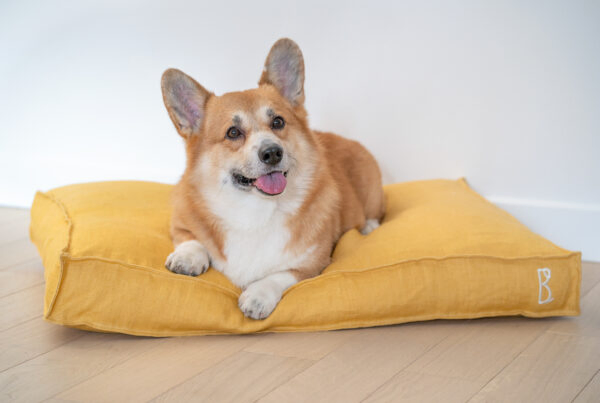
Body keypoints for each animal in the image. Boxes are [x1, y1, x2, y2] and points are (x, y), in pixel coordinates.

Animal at [161, 39, 384, 320]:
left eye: (278, 122)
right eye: (233, 132)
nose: (272, 153)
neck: (254, 211)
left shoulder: (313, 264)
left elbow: (279, 275)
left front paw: (257, 296)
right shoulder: (180, 223)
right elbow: (191, 239)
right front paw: (187, 258)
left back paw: (369, 227)